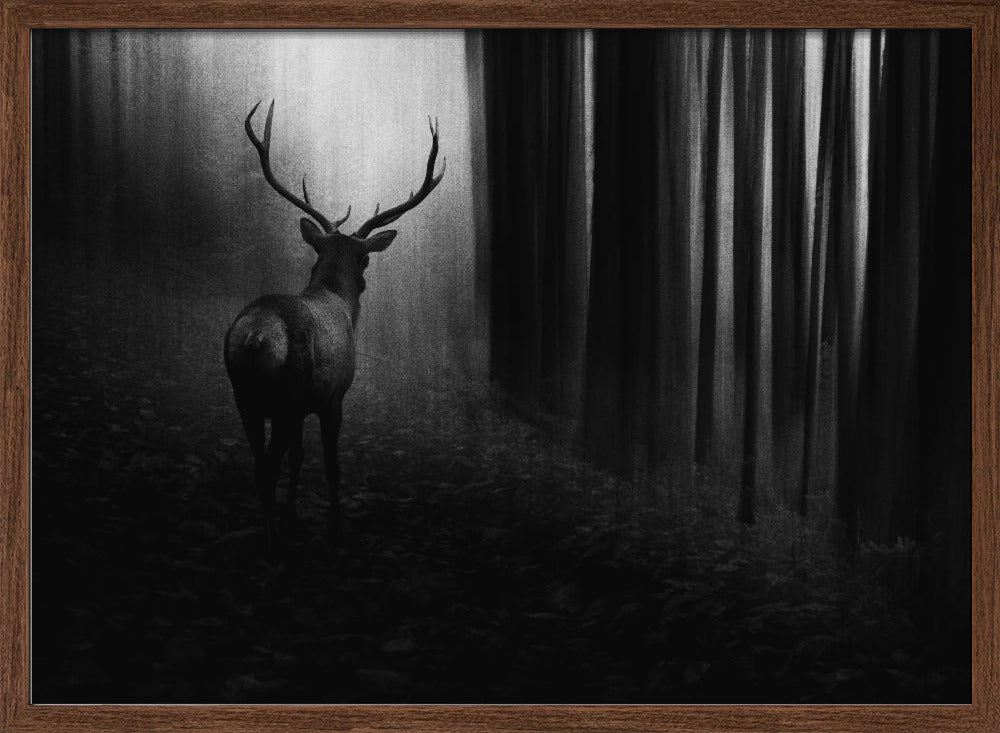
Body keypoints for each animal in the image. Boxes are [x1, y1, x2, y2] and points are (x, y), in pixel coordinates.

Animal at [224, 100, 445, 544]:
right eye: (366, 258)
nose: (364, 277)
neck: (338, 301)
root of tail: (256, 334)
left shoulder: (306, 406)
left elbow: (298, 458)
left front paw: (294, 513)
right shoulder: (333, 397)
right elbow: (331, 464)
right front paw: (335, 524)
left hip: (245, 393)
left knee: (260, 463)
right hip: (287, 394)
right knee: (268, 465)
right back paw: (271, 537)